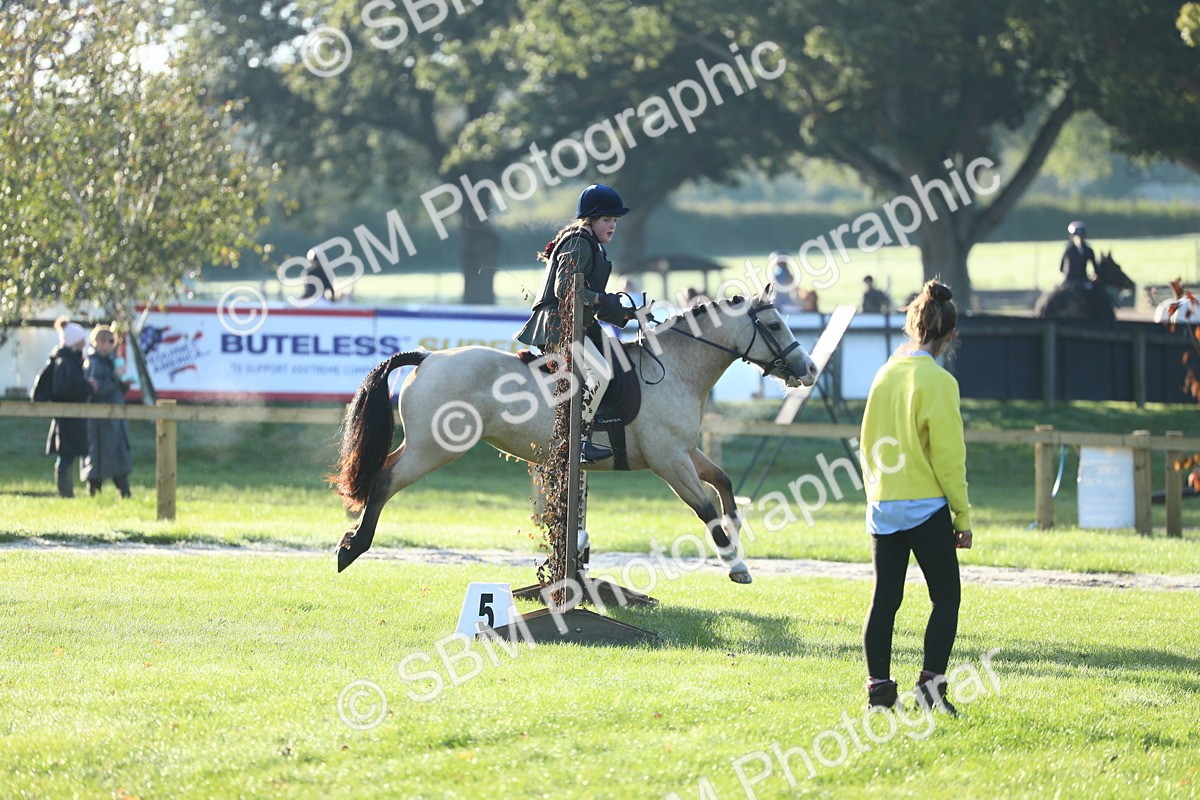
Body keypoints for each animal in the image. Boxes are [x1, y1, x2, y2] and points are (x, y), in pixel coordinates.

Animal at [332, 285, 818, 583]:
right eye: (776, 326)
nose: (809, 369)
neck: (675, 368)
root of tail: (429, 357)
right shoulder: (669, 462)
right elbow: (706, 509)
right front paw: (736, 565)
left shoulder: (685, 452)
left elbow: (723, 482)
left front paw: (737, 529)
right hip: (434, 449)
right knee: (383, 481)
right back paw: (352, 548)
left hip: (425, 447)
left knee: (381, 475)